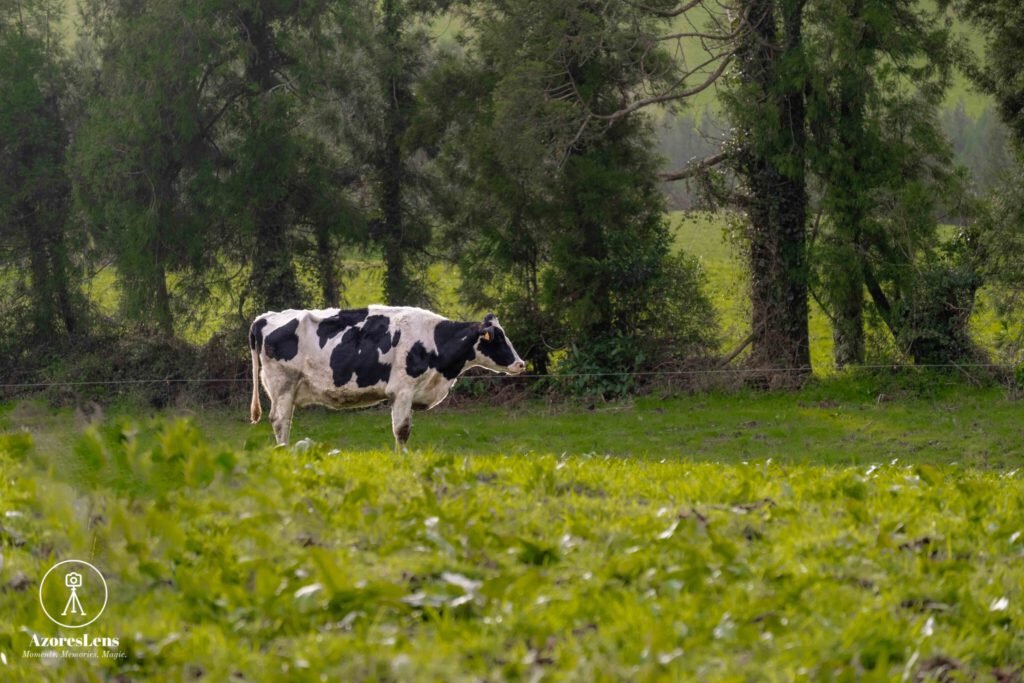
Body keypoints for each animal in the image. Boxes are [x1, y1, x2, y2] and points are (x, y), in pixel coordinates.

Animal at [244, 307, 524, 450]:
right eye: (497, 338)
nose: (521, 363)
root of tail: (264, 317)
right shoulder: (403, 390)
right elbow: (402, 429)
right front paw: (403, 458)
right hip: (283, 384)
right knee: (280, 421)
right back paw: (284, 451)